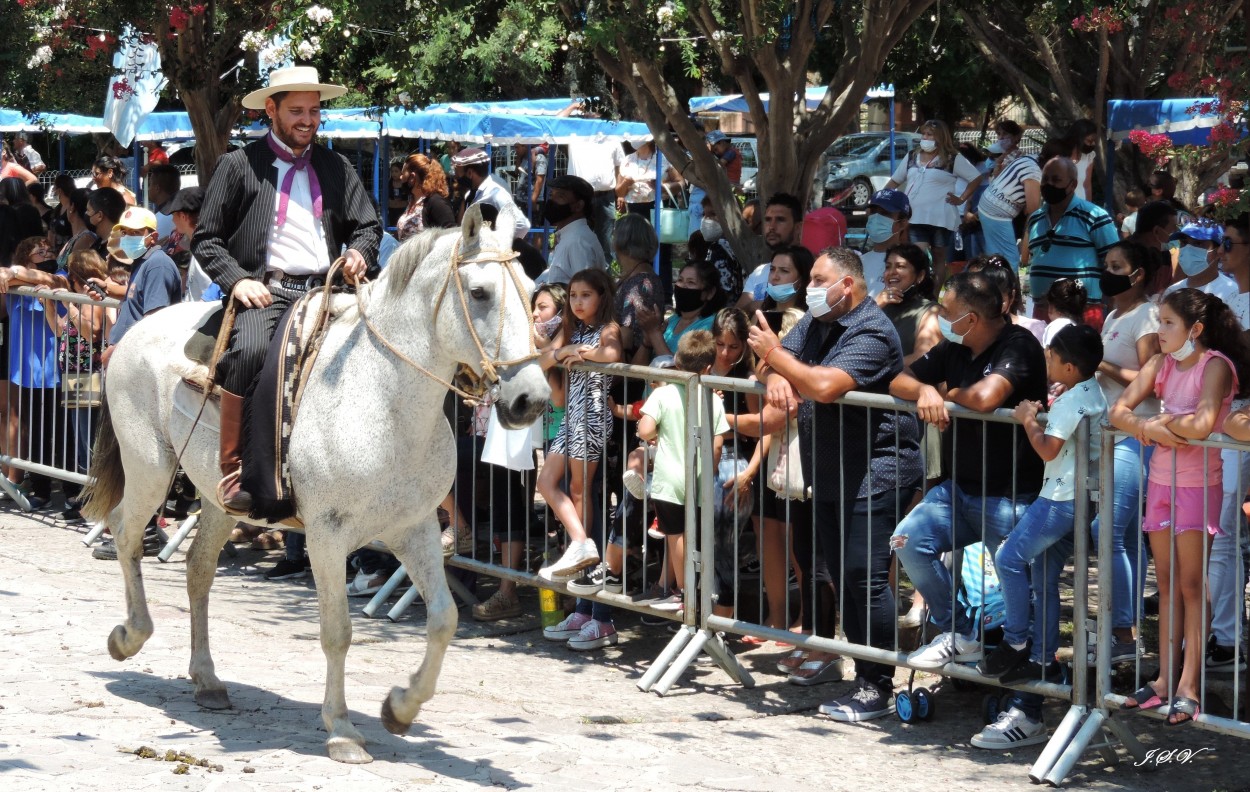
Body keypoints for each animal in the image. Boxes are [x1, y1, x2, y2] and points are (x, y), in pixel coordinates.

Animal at [79, 203, 547, 759]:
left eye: (529, 287)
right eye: (479, 293)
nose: (531, 400)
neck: (383, 398)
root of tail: (133, 332)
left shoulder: (416, 530)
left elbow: (444, 618)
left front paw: (400, 708)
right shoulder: (328, 535)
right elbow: (337, 631)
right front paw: (341, 729)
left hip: (217, 498)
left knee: (198, 570)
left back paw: (208, 680)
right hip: (150, 469)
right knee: (124, 532)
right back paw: (128, 637)